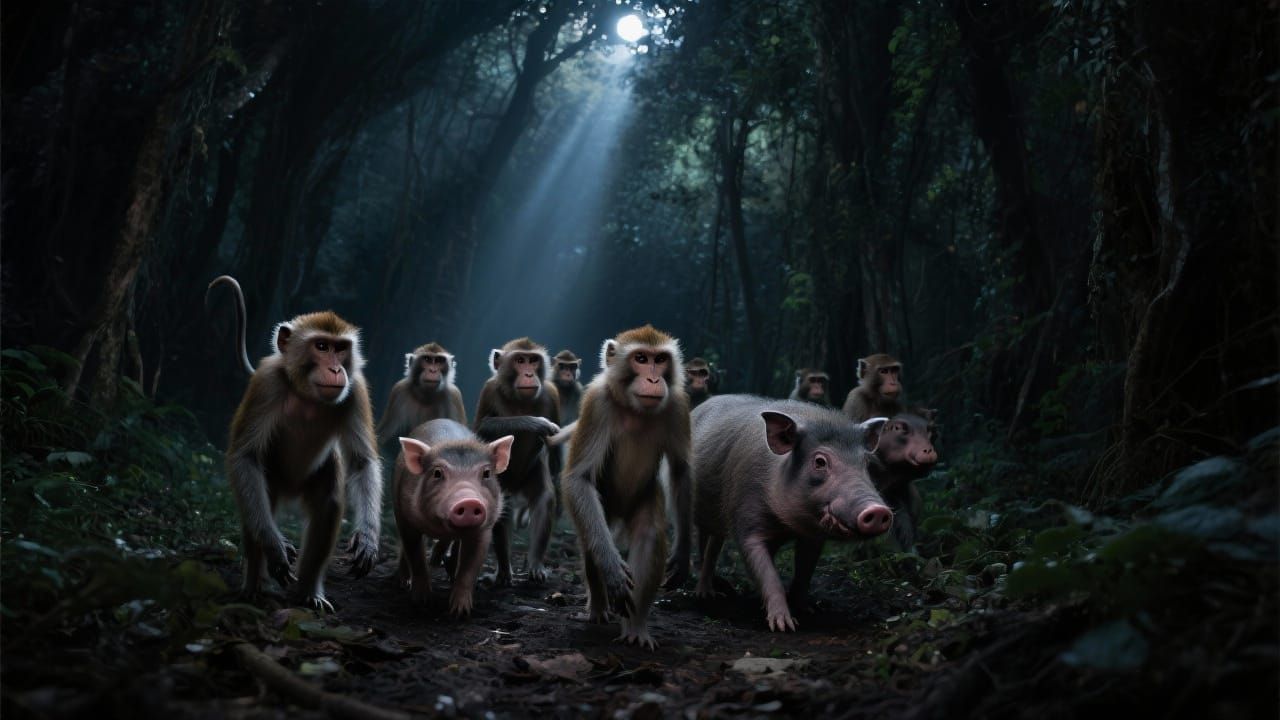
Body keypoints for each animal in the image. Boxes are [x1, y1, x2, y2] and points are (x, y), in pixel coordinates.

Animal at [208, 275, 381, 612]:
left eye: (341, 349)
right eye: (322, 346)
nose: (336, 369)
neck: (306, 395)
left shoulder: (355, 390)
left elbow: (362, 461)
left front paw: (367, 537)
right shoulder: (266, 383)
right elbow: (245, 457)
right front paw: (275, 547)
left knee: (328, 502)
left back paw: (308, 592)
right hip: (273, 478)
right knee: (255, 497)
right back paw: (254, 584)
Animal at [395, 419, 513, 618]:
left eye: (486, 473)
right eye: (437, 473)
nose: (469, 501)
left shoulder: (484, 530)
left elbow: (470, 566)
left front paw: (460, 612)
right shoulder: (406, 518)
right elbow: (415, 555)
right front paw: (422, 603)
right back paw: (403, 582)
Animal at [472, 338, 561, 585]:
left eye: (533, 360)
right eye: (520, 360)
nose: (529, 374)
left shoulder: (552, 394)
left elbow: (555, 456)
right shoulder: (489, 389)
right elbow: (480, 429)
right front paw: (535, 422)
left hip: (531, 473)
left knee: (543, 498)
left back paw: (535, 566)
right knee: (500, 504)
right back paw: (503, 571)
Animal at [561, 325, 692, 649]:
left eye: (660, 360)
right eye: (641, 358)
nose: (654, 379)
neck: (635, 411)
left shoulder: (677, 404)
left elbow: (681, 470)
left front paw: (683, 554)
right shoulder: (596, 403)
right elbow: (579, 478)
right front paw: (612, 571)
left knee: (649, 533)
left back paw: (635, 627)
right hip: (599, 507)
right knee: (592, 541)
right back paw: (598, 607)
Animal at [691, 395, 893, 631]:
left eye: (866, 463)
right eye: (820, 462)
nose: (878, 510)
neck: (787, 526)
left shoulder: (813, 537)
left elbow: (805, 572)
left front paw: (808, 611)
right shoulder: (745, 520)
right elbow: (768, 573)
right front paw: (784, 626)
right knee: (710, 547)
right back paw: (706, 595)